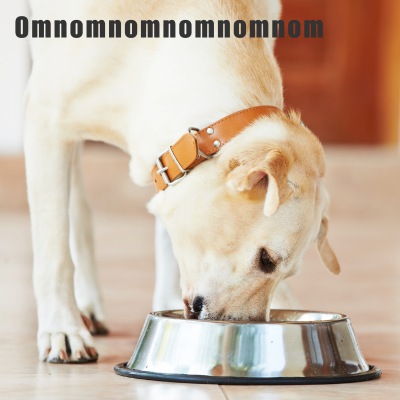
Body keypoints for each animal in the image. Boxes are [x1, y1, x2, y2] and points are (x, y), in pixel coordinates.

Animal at [24, 0, 338, 362]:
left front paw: (166, 303)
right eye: (266, 259)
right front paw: (62, 328)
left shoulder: (167, 165)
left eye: (286, 272)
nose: (249, 330)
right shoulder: (44, 120)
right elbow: (53, 252)